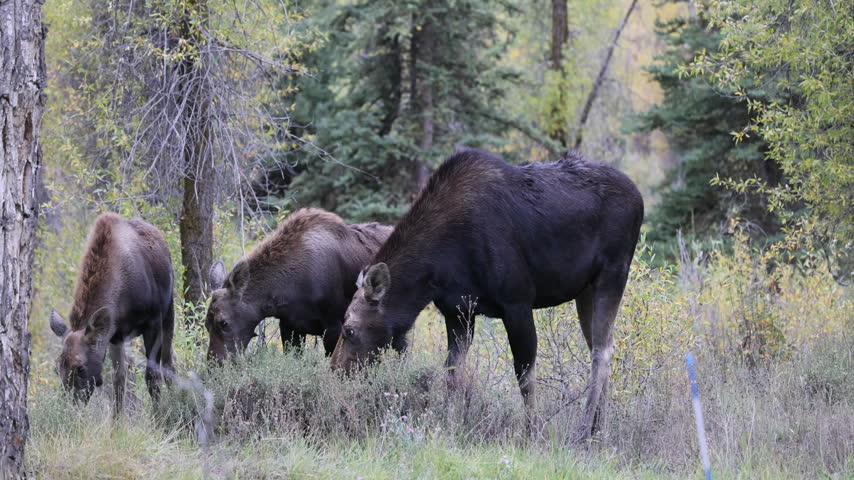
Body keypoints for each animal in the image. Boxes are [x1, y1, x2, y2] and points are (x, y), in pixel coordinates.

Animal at [50, 213, 175, 412]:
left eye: (80, 368)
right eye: (57, 367)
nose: (67, 410)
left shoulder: (153, 323)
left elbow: (152, 377)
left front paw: (159, 416)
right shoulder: (116, 335)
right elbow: (119, 380)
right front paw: (116, 420)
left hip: (169, 311)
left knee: (169, 362)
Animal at [331, 149, 644, 439]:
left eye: (349, 330)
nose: (334, 373)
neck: (435, 271)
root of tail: (640, 199)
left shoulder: (517, 302)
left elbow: (524, 375)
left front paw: (532, 434)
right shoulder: (458, 311)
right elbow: (452, 374)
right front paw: (450, 426)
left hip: (612, 274)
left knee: (602, 351)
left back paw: (584, 430)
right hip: (585, 289)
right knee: (603, 345)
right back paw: (600, 430)